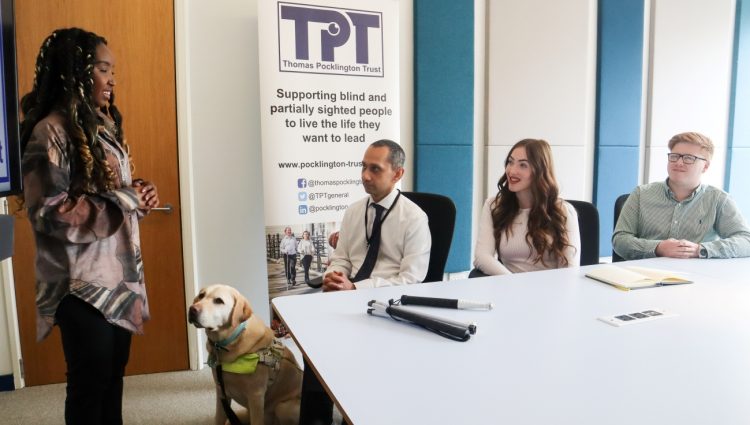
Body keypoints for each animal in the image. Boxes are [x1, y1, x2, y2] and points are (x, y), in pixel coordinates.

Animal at [188, 284, 302, 424]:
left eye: (219, 300)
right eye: (201, 295)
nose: (192, 309)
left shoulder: (256, 396)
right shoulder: (221, 393)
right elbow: (219, 418)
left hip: (284, 407)